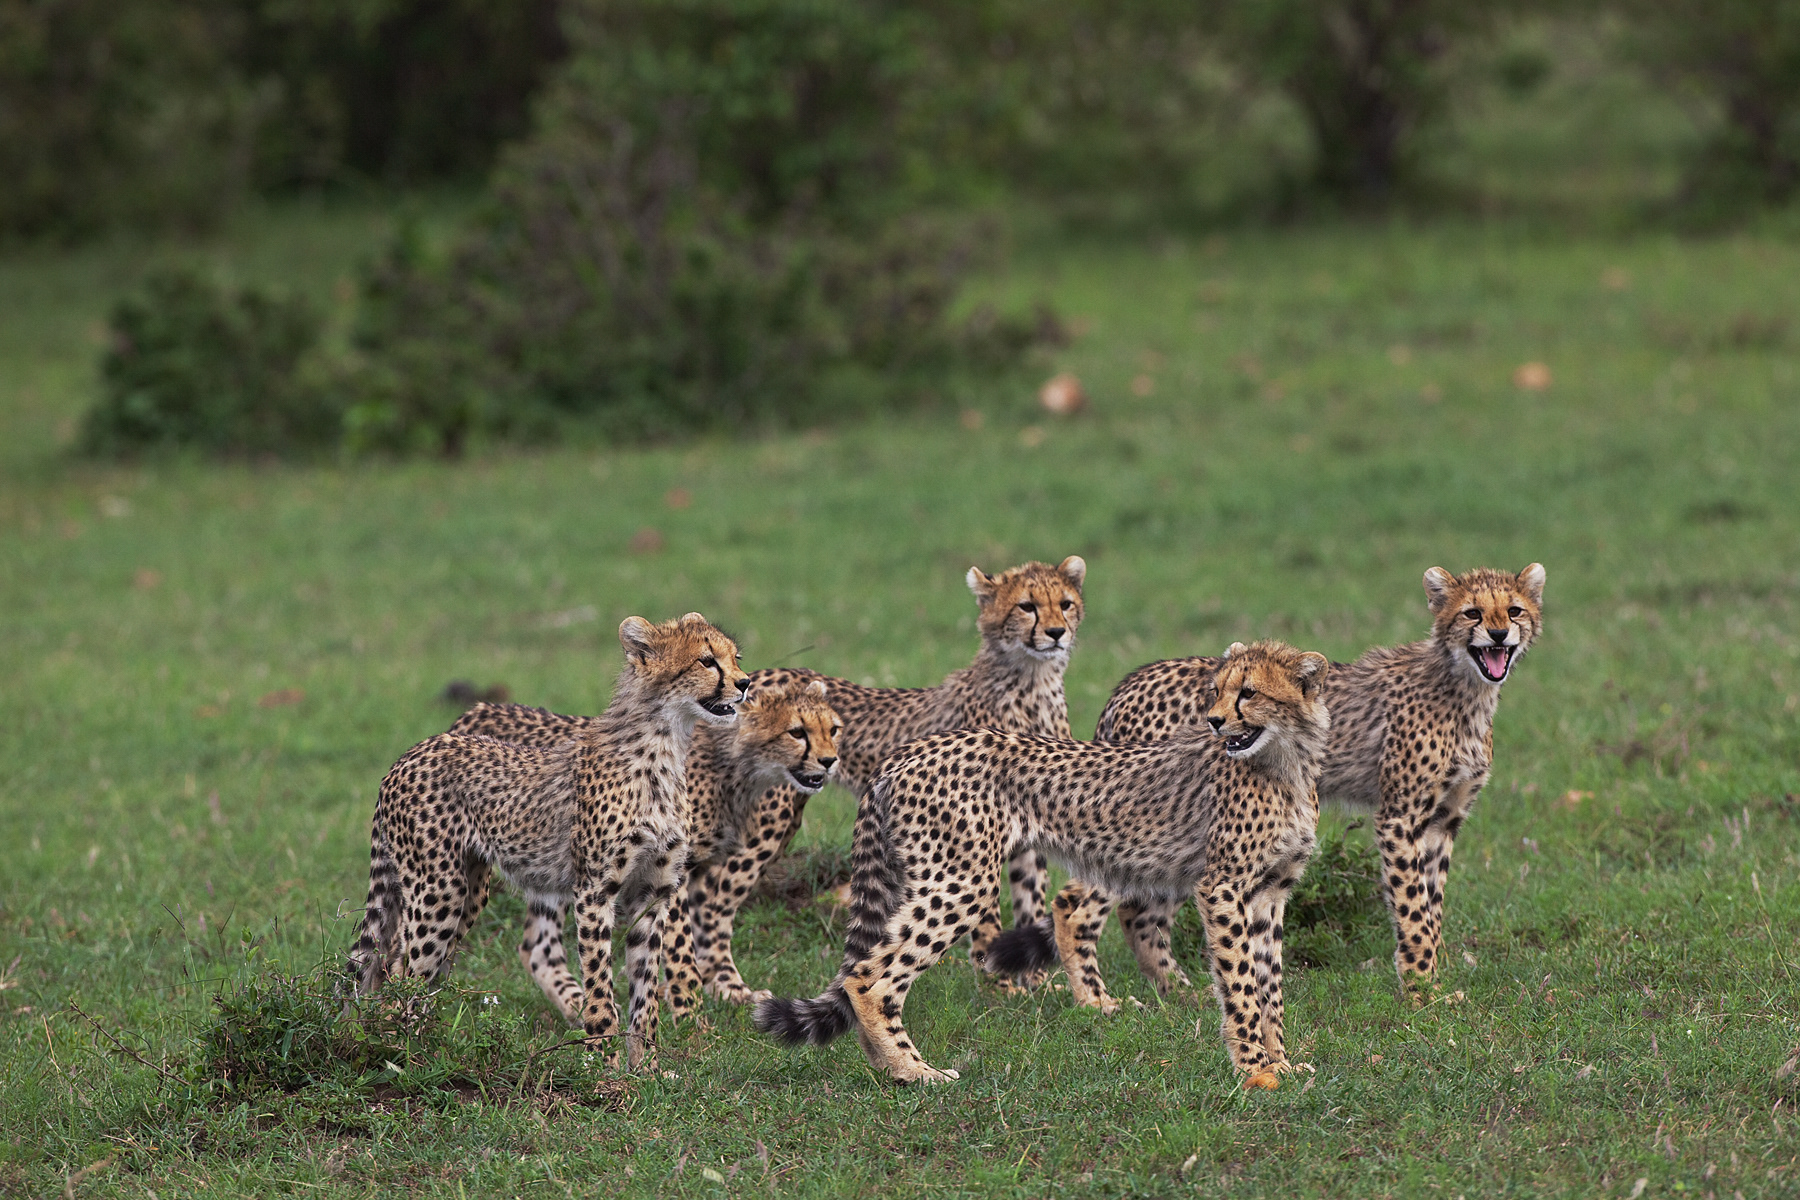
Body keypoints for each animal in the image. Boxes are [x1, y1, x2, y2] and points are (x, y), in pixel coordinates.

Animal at [346, 612, 750, 1071]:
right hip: (438, 891)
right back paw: (402, 1052)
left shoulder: (653, 892)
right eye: (706, 661)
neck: (664, 748)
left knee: (419, 968)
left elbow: (646, 989)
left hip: (470, 891)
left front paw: (646, 1067)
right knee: (399, 970)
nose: (744, 683)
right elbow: (599, 981)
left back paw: (423, 1045)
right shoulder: (594, 890)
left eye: (735, 658)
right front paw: (604, 1060)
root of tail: (410, 753)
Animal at [441, 677, 842, 1019]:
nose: (830, 761)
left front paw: (731, 992)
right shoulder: (673, 870)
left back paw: (578, 1006)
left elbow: (712, 926)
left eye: (833, 729)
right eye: (797, 731)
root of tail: (477, 712)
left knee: (537, 946)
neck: (739, 769)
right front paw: (689, 1016)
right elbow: (682, 948)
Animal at [685, 555, 1089, 1005]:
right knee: (711, 897)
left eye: (1065, 603)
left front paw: (1037, 981)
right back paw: (729, 988)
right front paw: (997, 982)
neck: (1033, 682)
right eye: (1027, 606)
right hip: (767, 820)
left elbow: (1031, 896)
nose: (1056, 632)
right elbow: (987, 915)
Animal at [754, 639, 1331, 1089]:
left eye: (1248, 692)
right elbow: (1241, 986)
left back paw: (889, 1068)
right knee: (868, 977)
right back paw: (915, 1070)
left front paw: (1282, 1062)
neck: (1286, 761)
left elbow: (1269, 984)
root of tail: (908, 751)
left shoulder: (1270, 892)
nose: (1214, 720)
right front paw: (1255, 1071)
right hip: (960, 880)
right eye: (1217, 691)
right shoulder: (1224, 888)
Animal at [1080, 563, 1546, 1005]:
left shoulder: (1443, 819)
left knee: (1139, 914)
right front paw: (1421, 991)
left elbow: (1431, 903)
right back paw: (1095, 1002)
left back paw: (1178, 993)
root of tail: (1132, 680)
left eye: (1514, 610)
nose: (1499, 633)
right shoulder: (1399, 818)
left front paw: (1436, 973)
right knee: (1080, 903)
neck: (1467, 689)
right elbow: (1413, 907)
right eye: (1472, 613)